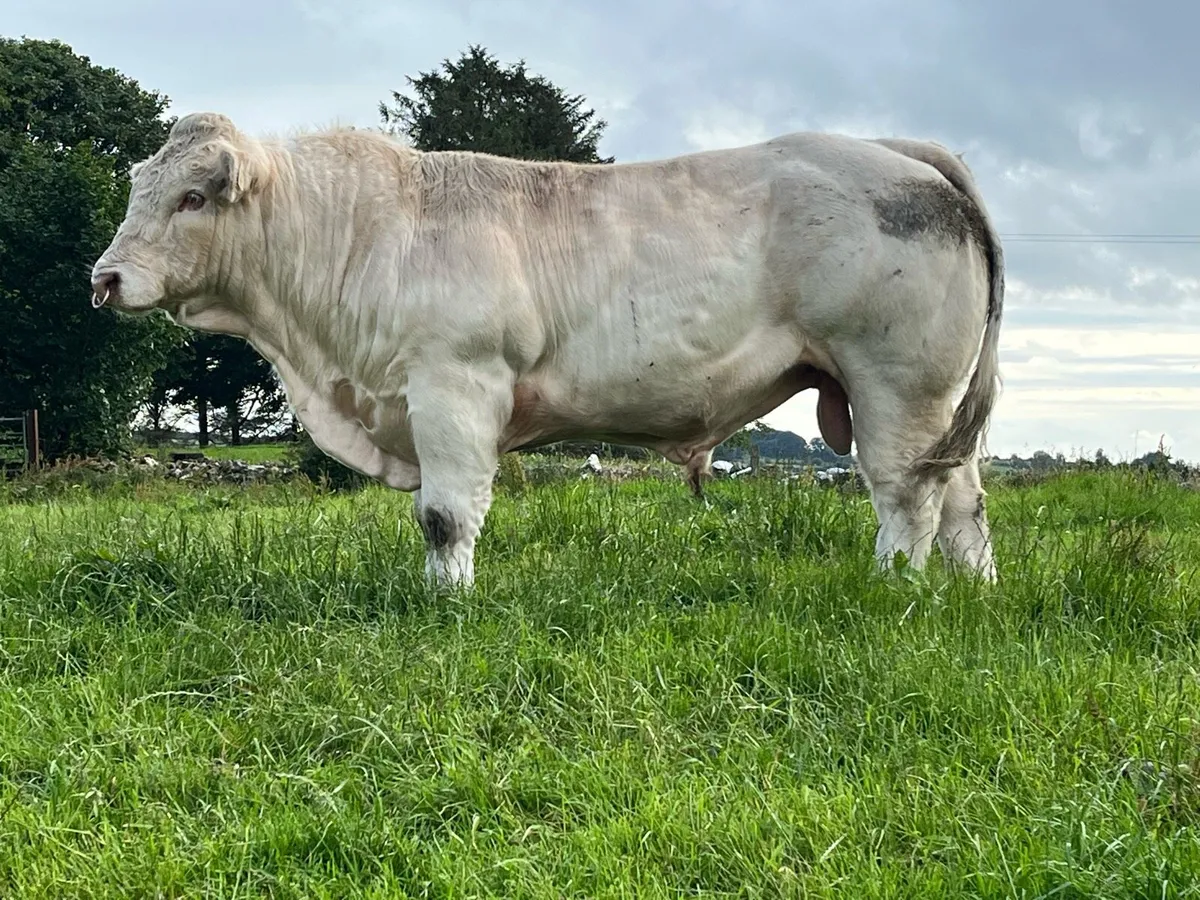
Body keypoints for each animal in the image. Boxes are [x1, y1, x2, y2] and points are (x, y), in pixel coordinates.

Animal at [90, 112, 1004, 588]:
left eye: (193, 197)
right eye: (139, 187)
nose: (104, 278)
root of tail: (895, 149)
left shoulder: (454, 384)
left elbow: (444, 514)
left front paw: (446, 604)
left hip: (895, 382)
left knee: (907, 499)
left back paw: (893, 588)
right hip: (934, 405)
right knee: (963, 501)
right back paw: (972, 594)